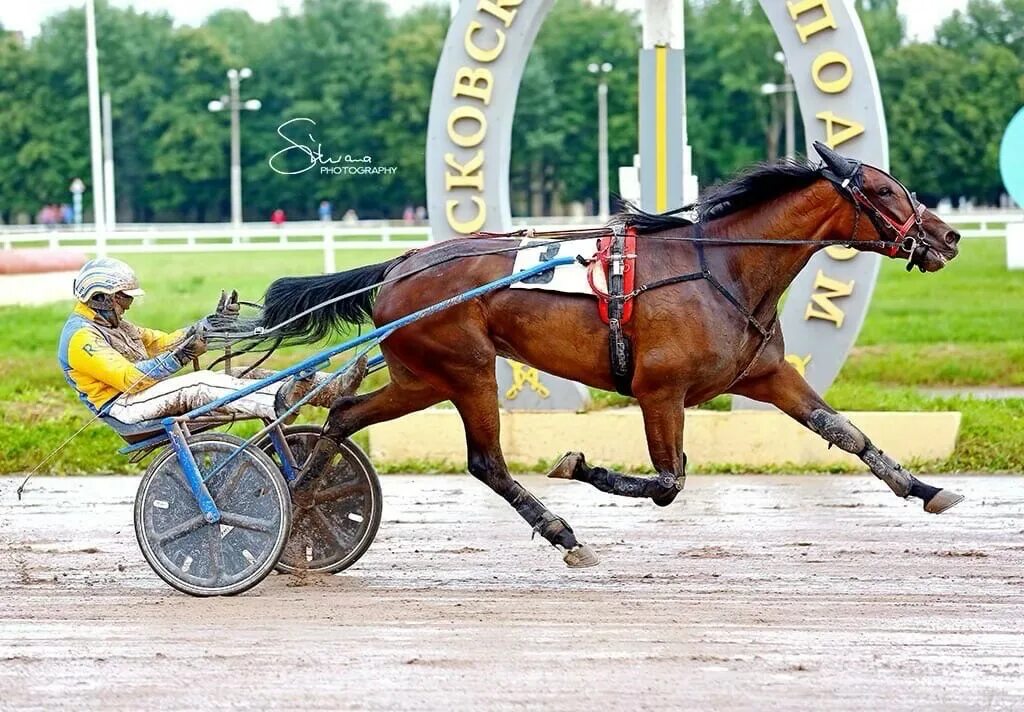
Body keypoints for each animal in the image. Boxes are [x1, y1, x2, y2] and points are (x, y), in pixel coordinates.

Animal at [253, 143, 958, 569]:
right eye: (884, 192)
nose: (948, 236)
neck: (722, 266)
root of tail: (401, 264)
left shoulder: (766, 375)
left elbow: (845, 432)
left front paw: (923, 488)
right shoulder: (659, 391)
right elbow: (670, 482)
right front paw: (579, 464)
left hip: (422, 377)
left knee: (343, 414)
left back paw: (303, 496)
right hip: (465, 369)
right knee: (486, 462)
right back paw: (563, 533)